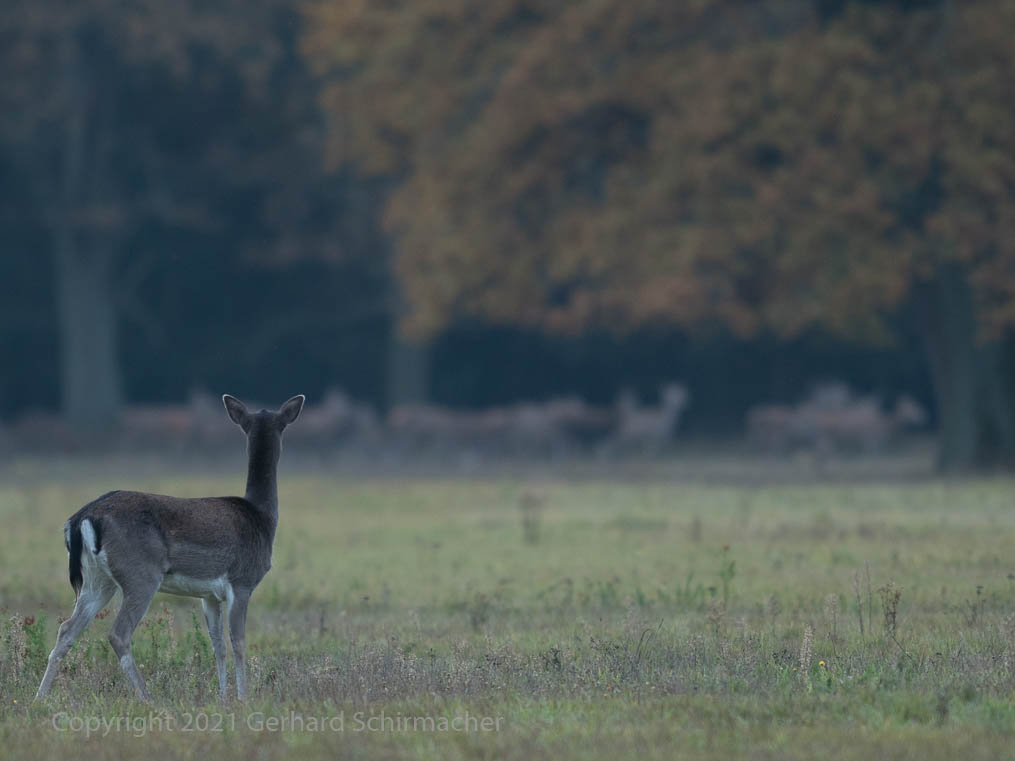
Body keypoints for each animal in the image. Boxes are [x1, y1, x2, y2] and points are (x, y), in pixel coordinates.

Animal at [35, 395, 304, 706]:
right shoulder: (243, 581)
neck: (261, 518)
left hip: (96, 580)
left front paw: (223, 698)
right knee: (118, 633)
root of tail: (82, 518)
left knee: (66, 629)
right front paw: (243, 699)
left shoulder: (209, 595)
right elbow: (238, 642)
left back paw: (39, 698)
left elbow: (218, 644)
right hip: (140, 574)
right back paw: (147, 697)